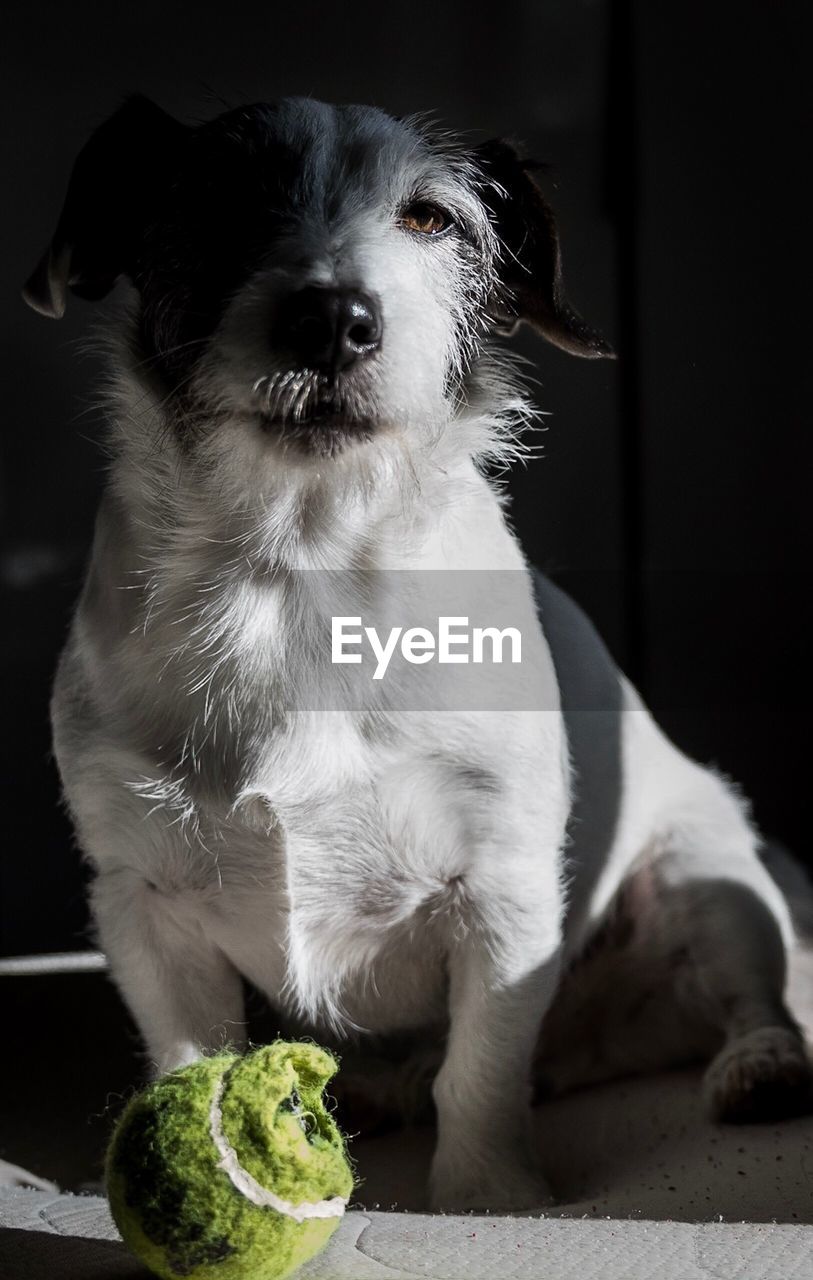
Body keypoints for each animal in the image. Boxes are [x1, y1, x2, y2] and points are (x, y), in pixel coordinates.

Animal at [25, 99, 813, 1208]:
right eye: (217, 195)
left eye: (431, 218)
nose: (332, 318)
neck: (299, 572)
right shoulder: (144, 904)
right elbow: (191, 1057)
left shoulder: (503, 888)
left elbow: (479, 1069)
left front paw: (489, 1195)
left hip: (706, 877)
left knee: (750, 993)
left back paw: (761, 1067)